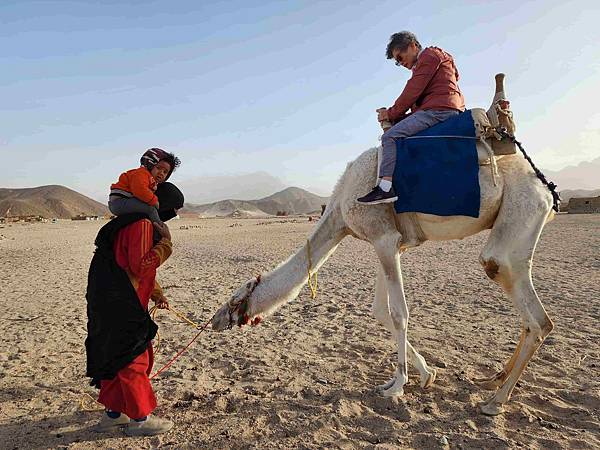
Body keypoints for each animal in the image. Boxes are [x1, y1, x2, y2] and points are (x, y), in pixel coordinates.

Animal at [213, 74, 556, 414]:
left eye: (234, 299)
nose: (215, 321)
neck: (340, 207)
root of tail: (545, 185)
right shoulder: (388, 243)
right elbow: (380, 310)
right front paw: (426, 375)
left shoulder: (383, 237)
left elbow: (399, 313)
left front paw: (397, 385)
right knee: (531, 318)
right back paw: (494, 380)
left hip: (520, 209)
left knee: (530, 309)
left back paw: (496, 400)